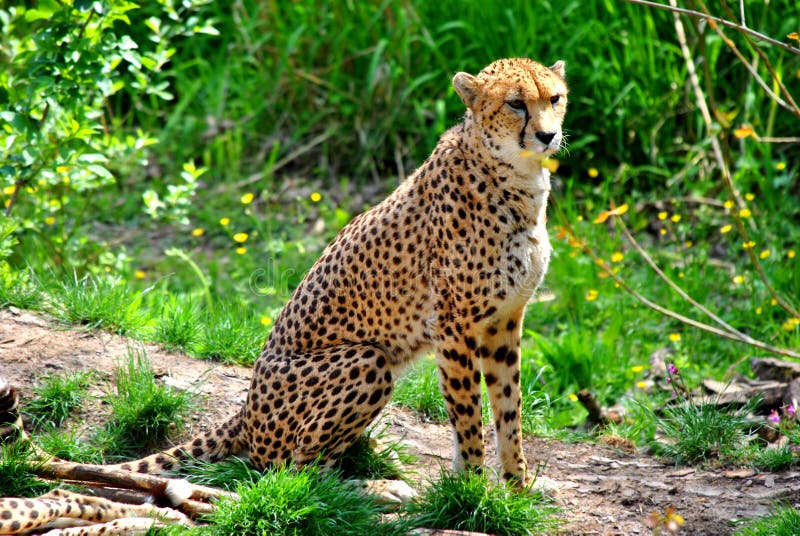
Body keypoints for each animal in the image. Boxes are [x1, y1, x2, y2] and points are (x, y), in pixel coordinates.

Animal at [0, 56, 568, 534]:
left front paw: (518, 487)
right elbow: (469, 418)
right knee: (290, 475)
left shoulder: (504, 323)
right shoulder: (455, 327)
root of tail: (247, 407)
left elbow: (509, 412)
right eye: (515, 103)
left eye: (555, 98)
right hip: (366, 360)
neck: (517, 178)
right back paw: (376, 489)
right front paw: (474, 494)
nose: (548, 134)